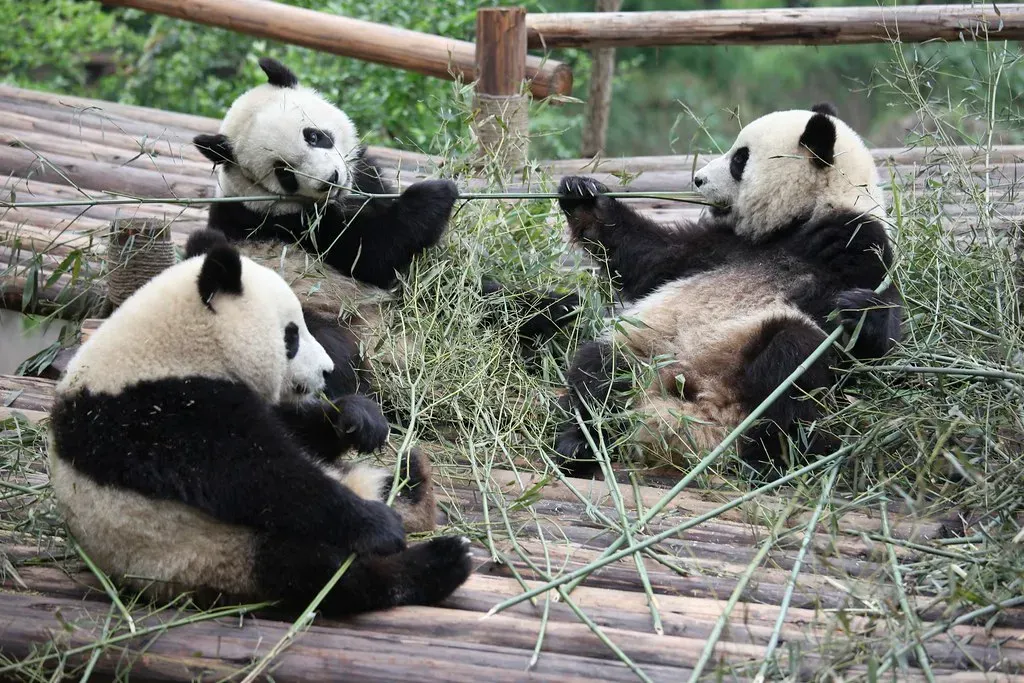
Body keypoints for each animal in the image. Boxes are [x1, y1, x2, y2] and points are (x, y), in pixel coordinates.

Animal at [47, 238, 473, 615]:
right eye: (292, 335)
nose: (326, 371)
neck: (171, 346)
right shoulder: (161, 414)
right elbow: (258, 477)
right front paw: (378, 524)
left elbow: (295, 433)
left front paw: (358, 419)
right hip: (210, 553)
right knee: (318, 572)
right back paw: (438, 559)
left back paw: (414, 483)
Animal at [192, 57, 580, 405]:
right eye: (284, 172)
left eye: (314, 136)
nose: (330, 180)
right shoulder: (287, 225)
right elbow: (373, 253)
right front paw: (435, 193)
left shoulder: (361, 180)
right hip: (307, 307)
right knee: (329, 349)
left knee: (484, 302)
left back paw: (558, 316)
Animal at [552, 103, 903, 477]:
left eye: (739, 159)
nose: (698, 179)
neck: (802, 218)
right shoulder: (719, 246)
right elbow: (650, 257)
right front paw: (583, 195)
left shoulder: (858, 247)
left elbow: (881, 352)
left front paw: (860, 310)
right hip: (645, 349)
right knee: (599, 371)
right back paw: (579, 443)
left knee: (792, 360)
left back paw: (766, 459)